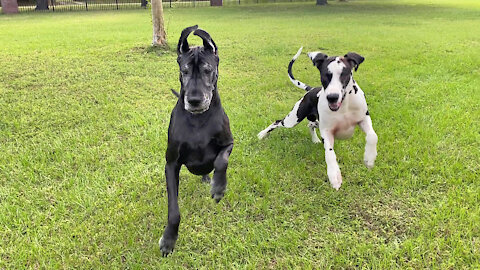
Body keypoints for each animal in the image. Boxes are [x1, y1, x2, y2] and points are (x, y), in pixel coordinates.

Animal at [159, 25, 234, 258]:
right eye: (184, 71)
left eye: (207, 70)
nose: (193, 100)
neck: (198, 120)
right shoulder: (171, 164)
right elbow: (173, 210)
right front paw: (169, 239)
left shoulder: (229, 143)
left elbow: (221, 161)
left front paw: (218, 187)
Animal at [256, 47, 376, 190]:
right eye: (325, 75)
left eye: (344, 74)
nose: (332, 97)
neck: (344, 106)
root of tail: (311, 89)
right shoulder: (327, 131)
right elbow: (330, 154)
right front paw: (334, 175)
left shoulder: (364, 119)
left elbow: (373, 136)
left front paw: (369, 158)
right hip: (294, 118)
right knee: (277, 122)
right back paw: (262, 134)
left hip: (315, 121)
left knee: (310, 125)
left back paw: (315, 139)